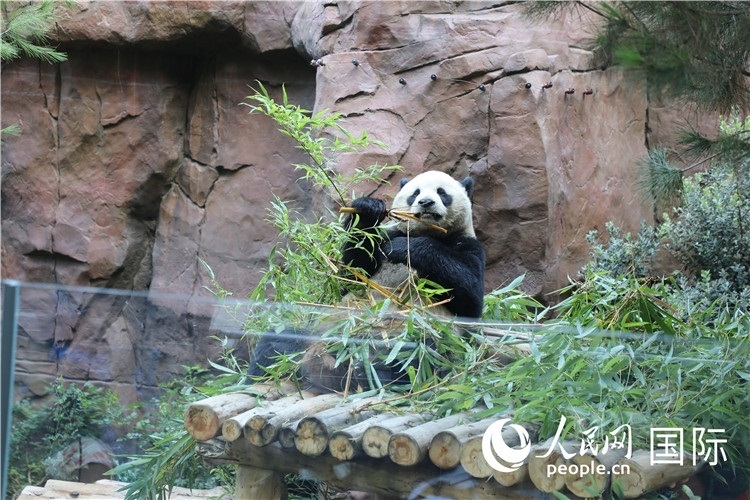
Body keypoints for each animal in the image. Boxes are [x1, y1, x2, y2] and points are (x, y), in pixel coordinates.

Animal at [249, 170, 485, 392]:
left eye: (442, 193)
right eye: (415, 193)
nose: (425, 202)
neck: (427, 231)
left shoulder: (467, 245)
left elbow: (470, 296)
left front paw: (403, 248)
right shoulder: (384, 237)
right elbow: (351, 276)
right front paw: (368, 210)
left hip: (420, 336)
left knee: (417, 354)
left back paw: (373, 373)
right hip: (314, 336)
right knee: (276, 343)